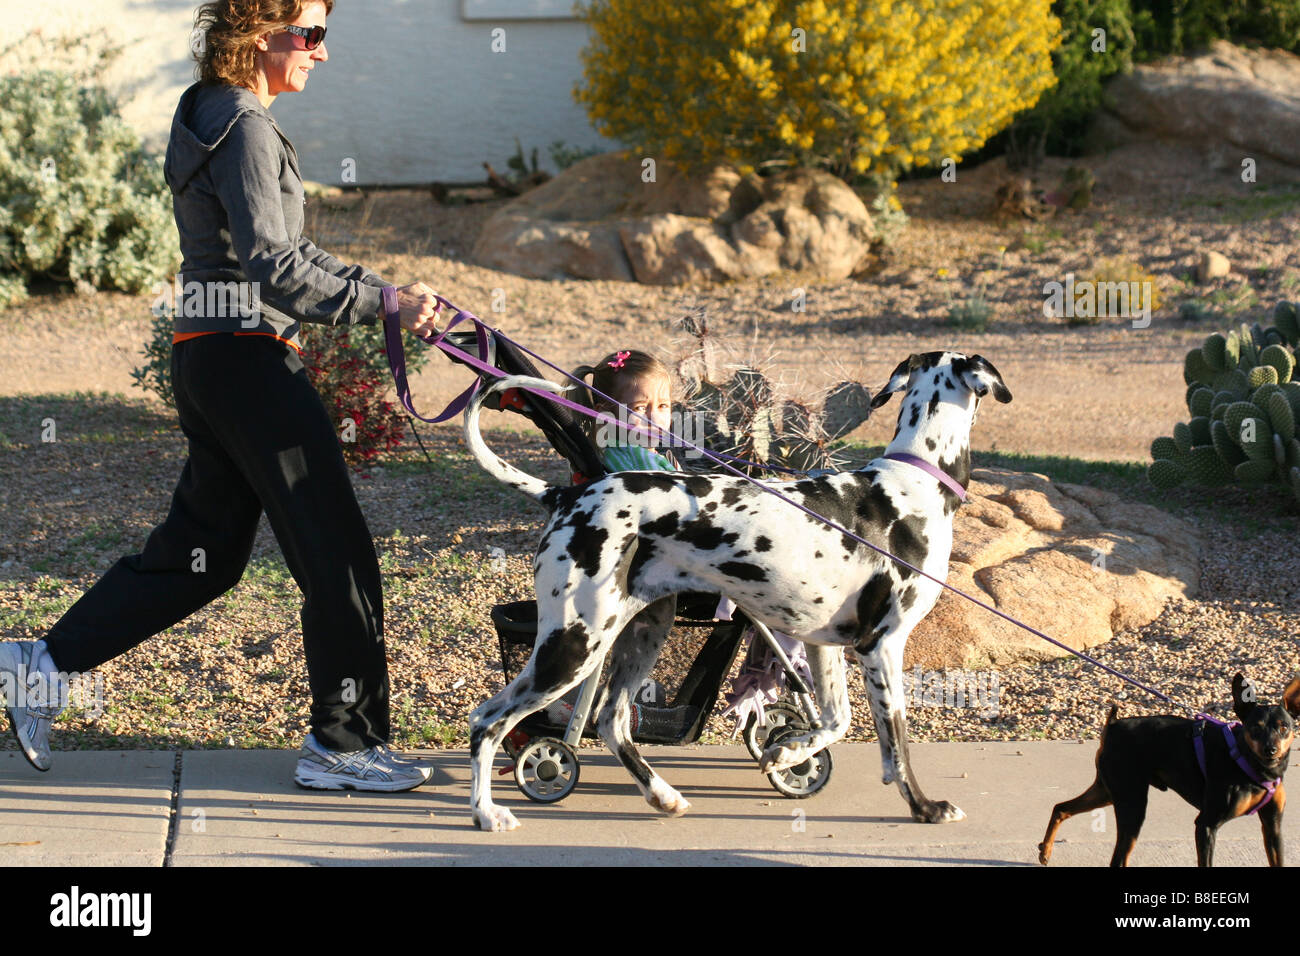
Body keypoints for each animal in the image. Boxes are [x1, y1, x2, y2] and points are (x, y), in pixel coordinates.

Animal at [462, 351, 1008, 832]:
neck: (914, 482)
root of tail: (567, 494)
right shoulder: (882, 646)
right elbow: (896, 743)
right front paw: (924, 808)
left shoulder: (824, 644)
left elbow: (837, 719)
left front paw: (787, 752)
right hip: (574, 646)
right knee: (486, 719)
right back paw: (487, 814)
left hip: (642, 633)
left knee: (611, 720)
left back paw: (662, 795)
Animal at [1034, 671, 1300, 868]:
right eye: (1255, 727)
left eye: (1284, 727)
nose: (1270, 749)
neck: (1256, 766)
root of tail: (1113, 725)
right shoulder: (1206, 825)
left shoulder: (1273, 826)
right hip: (1131, 803)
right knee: (1118, 859)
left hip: (1108, 791)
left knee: (1061, 808)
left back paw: (1045, 850)